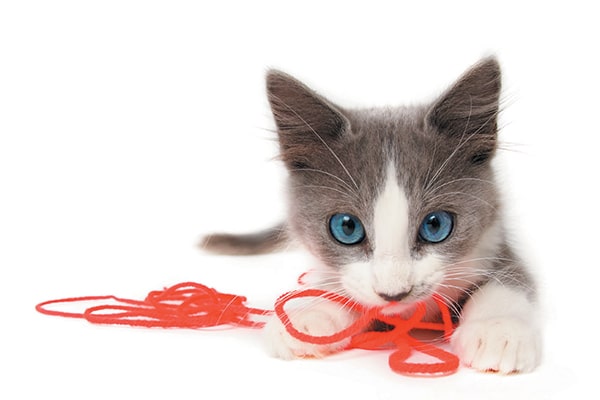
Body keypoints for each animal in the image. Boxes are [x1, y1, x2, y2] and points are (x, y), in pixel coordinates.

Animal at [203, 57, 544, 374]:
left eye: (436, 226)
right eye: (346, 228)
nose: (394, 293)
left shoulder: (495, 236)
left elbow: (509, 277)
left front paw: (498, 330)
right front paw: (309, 314)